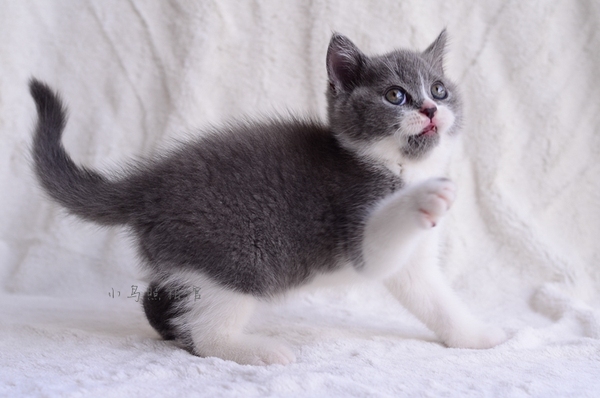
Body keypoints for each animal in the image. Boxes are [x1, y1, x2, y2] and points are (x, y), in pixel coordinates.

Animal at [28, 31, 506, 366]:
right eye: (395, 95)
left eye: (439, 89)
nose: (429, 109)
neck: (396, 166)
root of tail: (148, 185)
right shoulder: (355, 218)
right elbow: (379, 239)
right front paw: (425, 197)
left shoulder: (415, 264)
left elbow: (436, 300)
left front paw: (477, 338)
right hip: (236, 257)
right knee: (210, 332)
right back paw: (257, 351)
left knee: (162, 299)